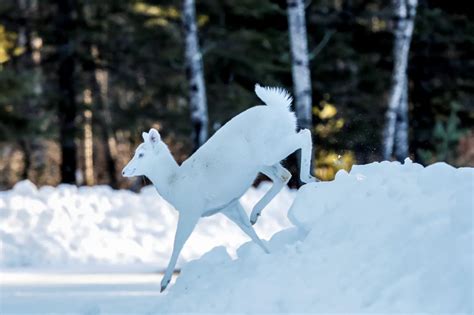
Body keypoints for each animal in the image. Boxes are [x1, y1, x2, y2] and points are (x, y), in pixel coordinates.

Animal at [122, 84, 314, 292]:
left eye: (141, 154)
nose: (124, 171)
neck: (174, 184)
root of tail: (280, 109)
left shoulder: (191, 209)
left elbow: (178, 241)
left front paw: (164, 283)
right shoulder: (228, 206)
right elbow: (248, 231)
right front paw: (268, 253)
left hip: (269, 150)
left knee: (305, 136)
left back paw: (307, 178)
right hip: (263, 161)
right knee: (284, 174)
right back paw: (259, 211)